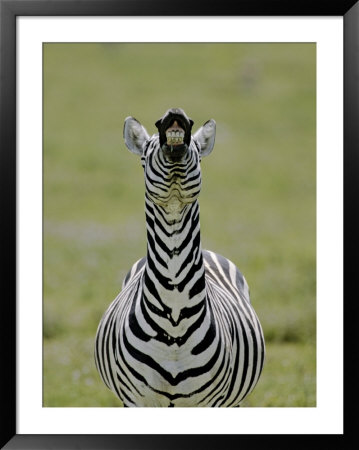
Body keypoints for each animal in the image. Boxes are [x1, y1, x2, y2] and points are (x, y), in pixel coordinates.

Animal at [94, 107, 266, 406]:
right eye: (144, 155)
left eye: (198, 151)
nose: (174, 112)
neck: (174, 318)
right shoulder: (135, 400)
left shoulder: (212, 402)